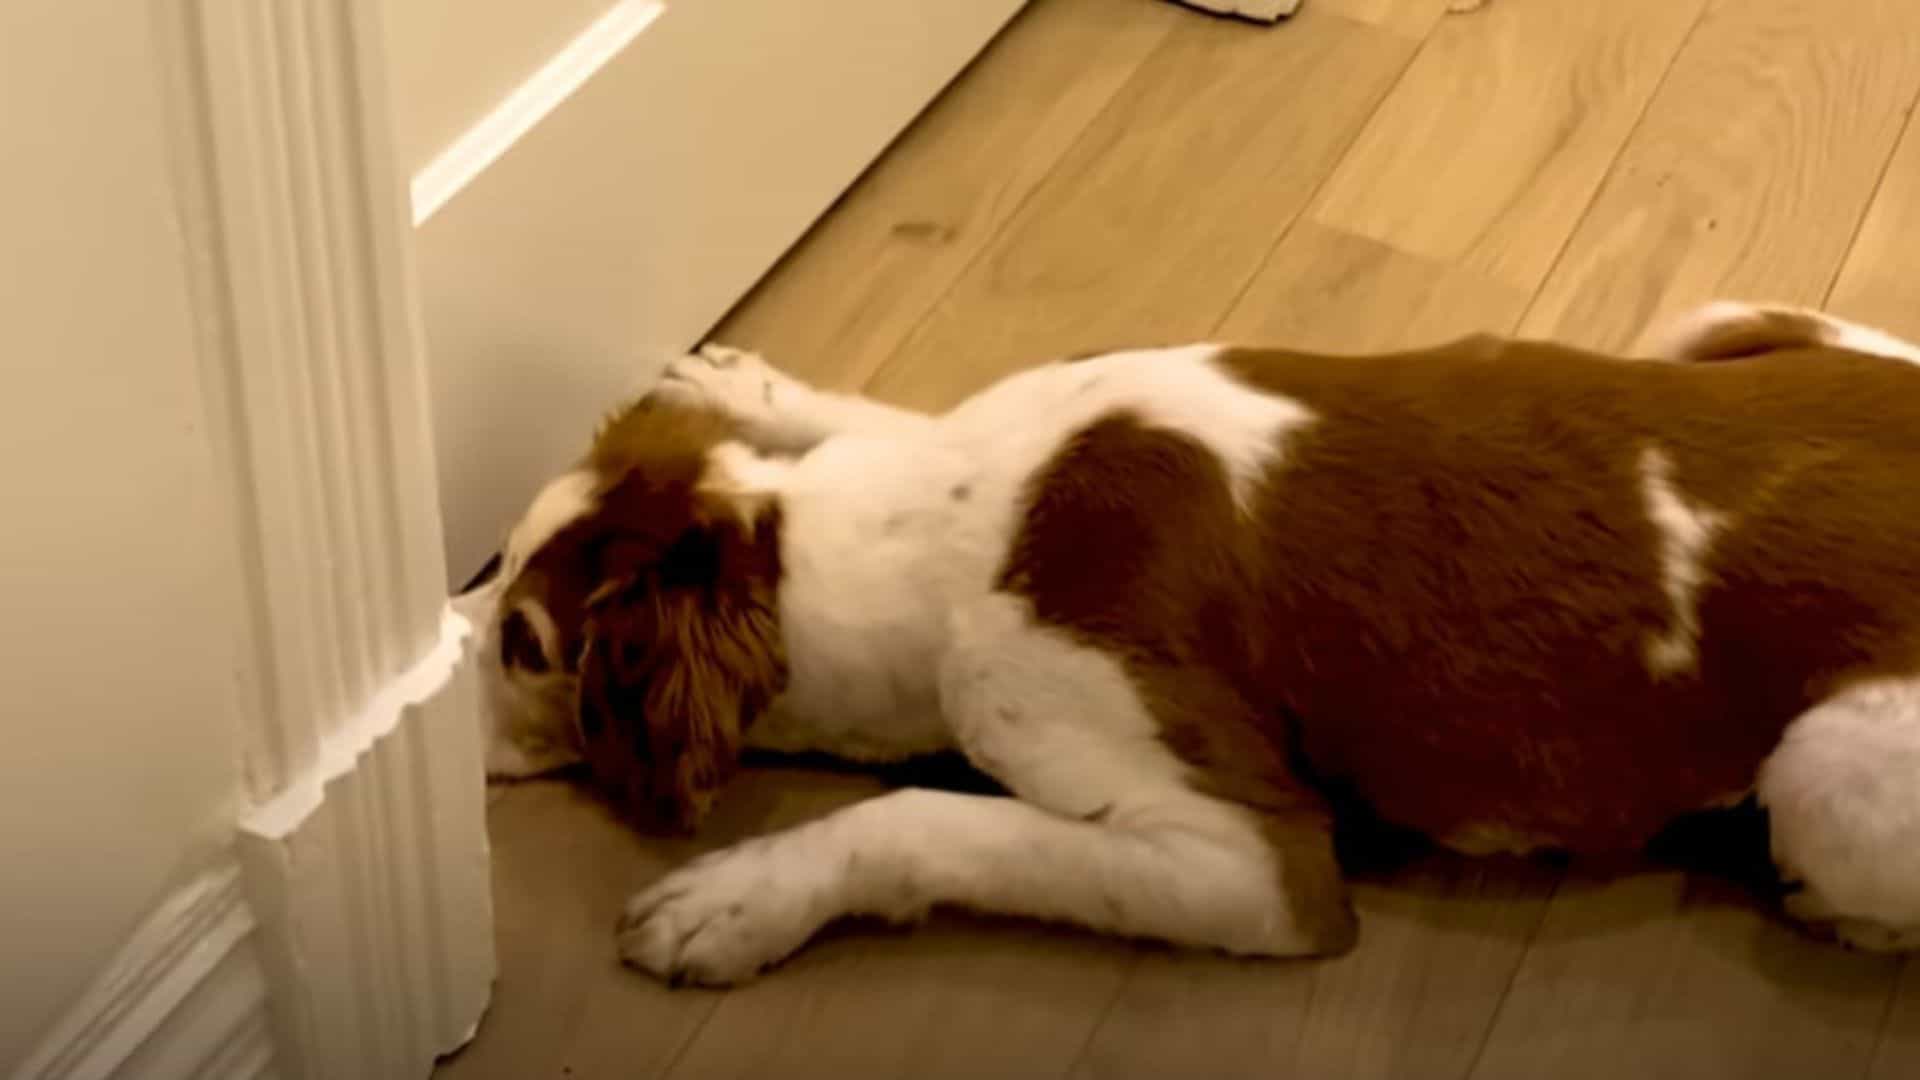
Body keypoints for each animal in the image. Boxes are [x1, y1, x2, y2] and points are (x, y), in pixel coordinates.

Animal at [460, 297, 1920, 980]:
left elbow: (921, 821)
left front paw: (738, 901)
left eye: (524, 647)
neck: (971, 526)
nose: (442, 633)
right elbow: (875, 419)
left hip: (1828, 780)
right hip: (1718, 323)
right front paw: (749, 390)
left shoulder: (1250, 857)